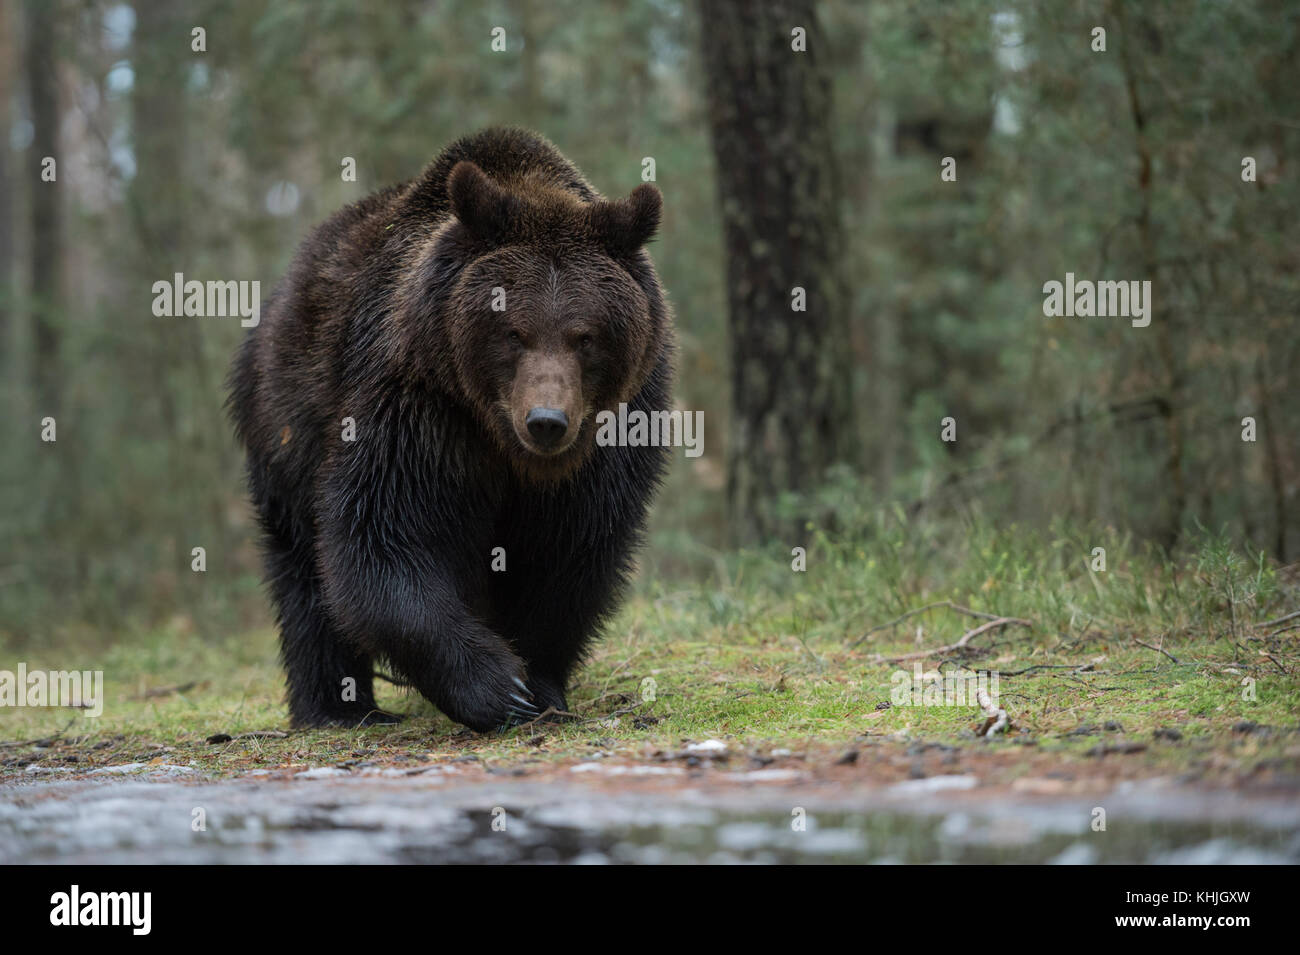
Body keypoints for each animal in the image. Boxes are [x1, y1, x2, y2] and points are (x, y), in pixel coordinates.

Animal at [227, 127, 673, 732]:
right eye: (513, 331)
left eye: (586, 336)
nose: (547, 422)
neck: (503, 442)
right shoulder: (416, 405)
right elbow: (384, 538)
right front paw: (498, 687)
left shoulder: (611, 436)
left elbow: (569, 554)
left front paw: (539, 684)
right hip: (286, 421)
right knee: (302, 565)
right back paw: (338, 706)